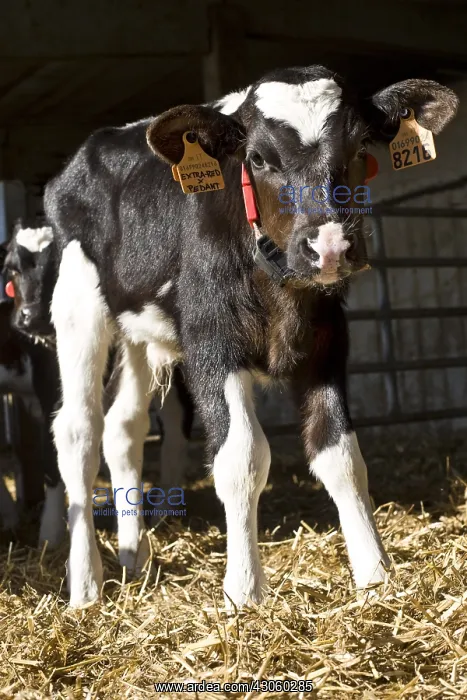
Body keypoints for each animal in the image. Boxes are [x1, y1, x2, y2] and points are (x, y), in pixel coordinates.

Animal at [44, 65, 458, 607]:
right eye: (258, 158)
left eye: (359, 145)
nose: (330, 247)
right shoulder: (210, 341)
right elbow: (241, 457)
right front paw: (244, 591)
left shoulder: (328, 342)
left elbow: (342, 456)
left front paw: (376, 575)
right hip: (77, 304)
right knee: (79, 432)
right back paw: (86, 584)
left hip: (140, 332)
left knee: (123, 427)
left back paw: (135, 559)